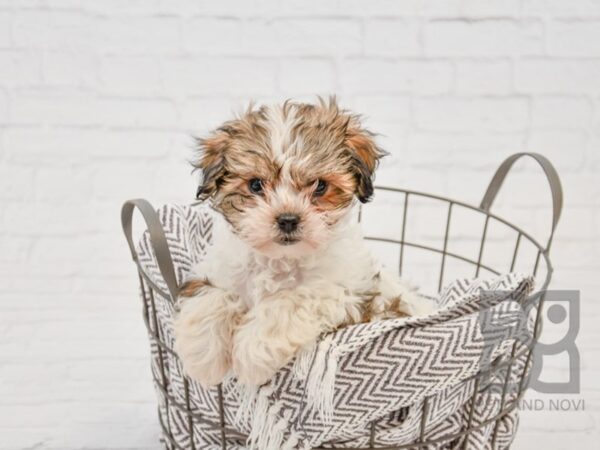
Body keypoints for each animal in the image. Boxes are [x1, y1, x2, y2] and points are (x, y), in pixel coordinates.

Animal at [176, 97, 434, 386]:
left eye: (320, 186)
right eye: (255, 185)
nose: (288, 219)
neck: (281, 260)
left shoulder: (345, 293)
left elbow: (290, 301)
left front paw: (251, 352)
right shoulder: (219, 270)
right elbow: (212, 295)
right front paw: (202, 354)